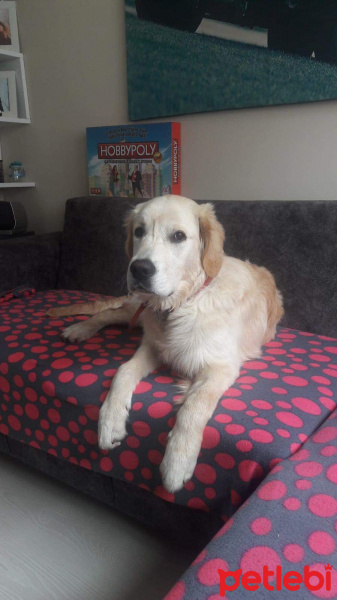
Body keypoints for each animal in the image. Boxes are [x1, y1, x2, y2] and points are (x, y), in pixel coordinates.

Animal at [47, 196, 282, 492]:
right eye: (139, 231)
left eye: (178, 236)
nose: (139, 268)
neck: (182, 303)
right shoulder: (152, 346)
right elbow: (122, 372)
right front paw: (110, 421)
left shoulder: (222, 367)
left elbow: (194, 407)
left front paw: (177, 461)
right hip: (137, 308)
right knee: (107, 313)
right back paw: (79, 329)